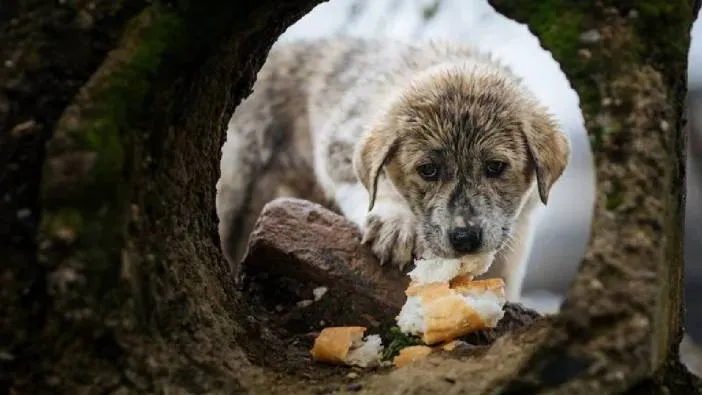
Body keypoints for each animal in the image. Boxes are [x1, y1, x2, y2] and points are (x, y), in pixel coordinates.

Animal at [219, 38, 572, 304]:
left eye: (496, 167)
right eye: (427, 170)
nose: (465, 238)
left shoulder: (518, 233)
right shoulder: (339, 142)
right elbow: (373, 184)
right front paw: (396, 223)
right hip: (235, 186)